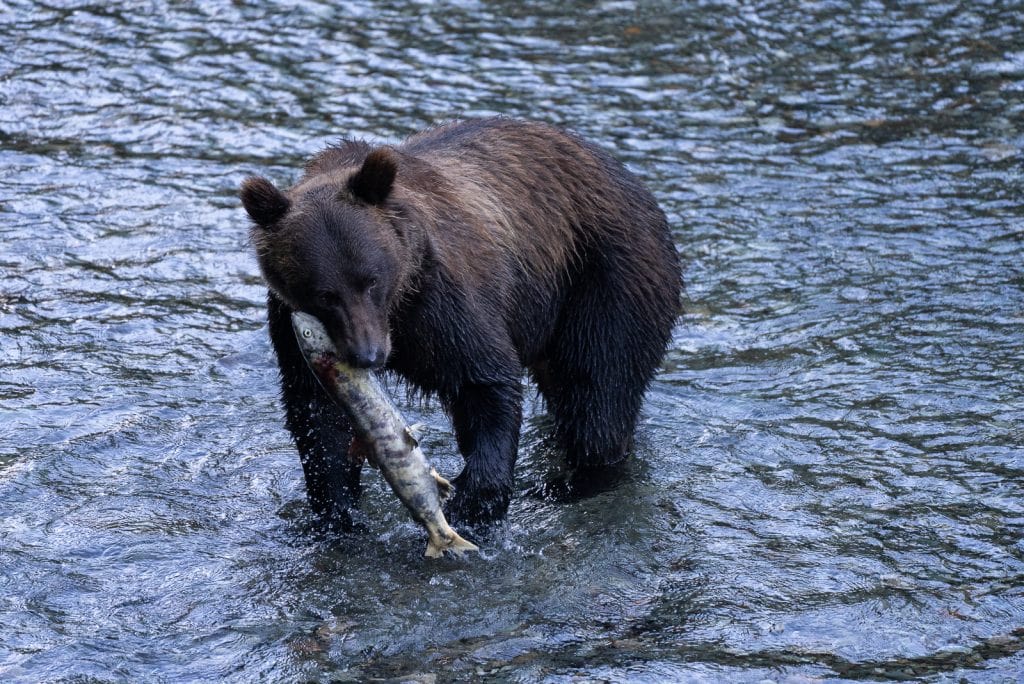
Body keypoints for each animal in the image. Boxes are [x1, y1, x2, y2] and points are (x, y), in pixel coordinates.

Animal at [240, 118, 680, 527]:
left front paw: (474, 501)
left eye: (371, 279)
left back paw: (572, 482)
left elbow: (483, 379)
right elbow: (317, 414)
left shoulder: (442, 300)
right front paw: (337, 510)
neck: (398, 310)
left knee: (598, 391)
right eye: (324, 294)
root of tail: (633, 182)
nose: (369, 355)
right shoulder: (288, 323)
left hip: (604, 274)